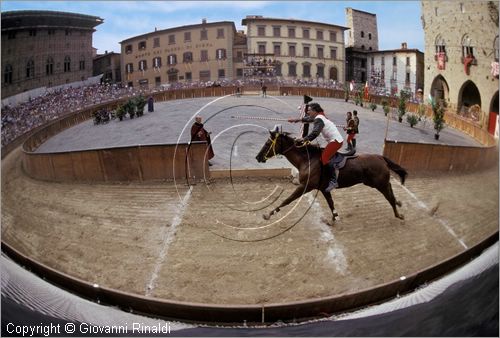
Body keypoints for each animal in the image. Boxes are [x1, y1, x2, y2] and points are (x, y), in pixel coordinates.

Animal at [256, 129, 408, 222]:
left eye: (268, 143)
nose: (258, 157)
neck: (308, 160)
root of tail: (381, 157)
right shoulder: (324, 189)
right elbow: (331, 203)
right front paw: (335, 218)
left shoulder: (305, 186)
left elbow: (287, 200)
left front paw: (268, 214)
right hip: (378, 183)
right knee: (391, 191)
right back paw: (399, 203)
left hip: (379, 184)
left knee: (389, 197)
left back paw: (398, 214)